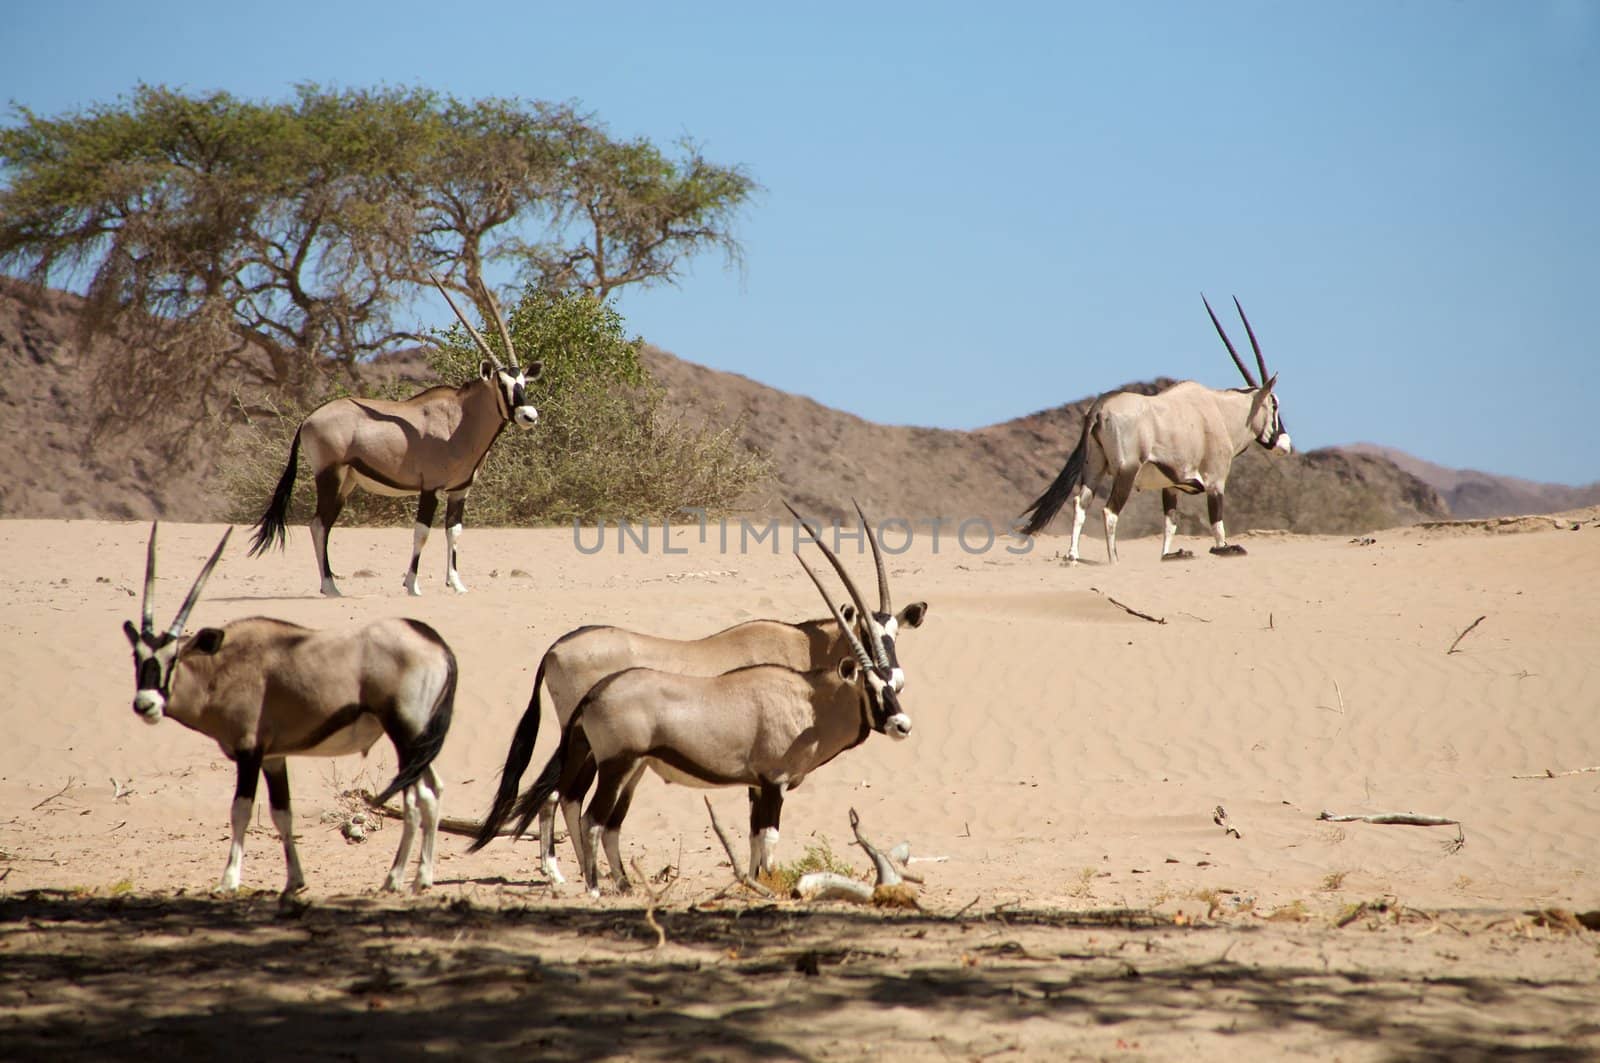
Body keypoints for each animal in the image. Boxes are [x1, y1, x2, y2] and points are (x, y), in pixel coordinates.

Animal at [123, 521, 457, 890]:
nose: (145, 704)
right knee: (434, 792)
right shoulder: (273, 758)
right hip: (418, 742)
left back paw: (399, 878)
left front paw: (229, 880)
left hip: (405, 736)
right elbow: (282, 814)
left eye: (174, 658)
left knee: (418, 800)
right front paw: (295, 881)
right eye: (137, 657)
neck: (223, 666)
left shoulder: (249, 753)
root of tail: (436, 645)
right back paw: (418, 876)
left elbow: (240, 811)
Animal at [249, 275, 544, 598]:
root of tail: (308, 419)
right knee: (319, 525)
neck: (460, 420)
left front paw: (456, 584)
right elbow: (422, 533)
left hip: (346, 482)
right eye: (503, 385)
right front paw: (412, 585)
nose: (529, 415)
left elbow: (453, 532)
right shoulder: (431, 488)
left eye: (522, 382)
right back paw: (330, 586)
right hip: (330, 476)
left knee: (322, 524)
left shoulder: (460, 491)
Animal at [470, 502, 928, 883]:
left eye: (894, 632)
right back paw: (565, 873)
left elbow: (754, 832)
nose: (897, 681)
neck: (802, 649)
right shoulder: (768, 773)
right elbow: (765, 832)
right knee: (559, 796)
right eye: (866, 633)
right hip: (589, 745)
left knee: (560, 795)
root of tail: (555, 648)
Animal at [1017, 294, 1292, 563]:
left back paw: (1073, 555)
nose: (1286, 444)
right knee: (1110, 511)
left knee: (1080, 503)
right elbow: (1218, 526)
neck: (1222, 412)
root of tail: (1099, 408)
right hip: (1126, 471)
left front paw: (1169, 554)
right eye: (1275, 404)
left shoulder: (1171, 486)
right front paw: (1222, 549)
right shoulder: (1216, 481)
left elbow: (1170, 523)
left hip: (1094, 467)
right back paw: (1113, 560)